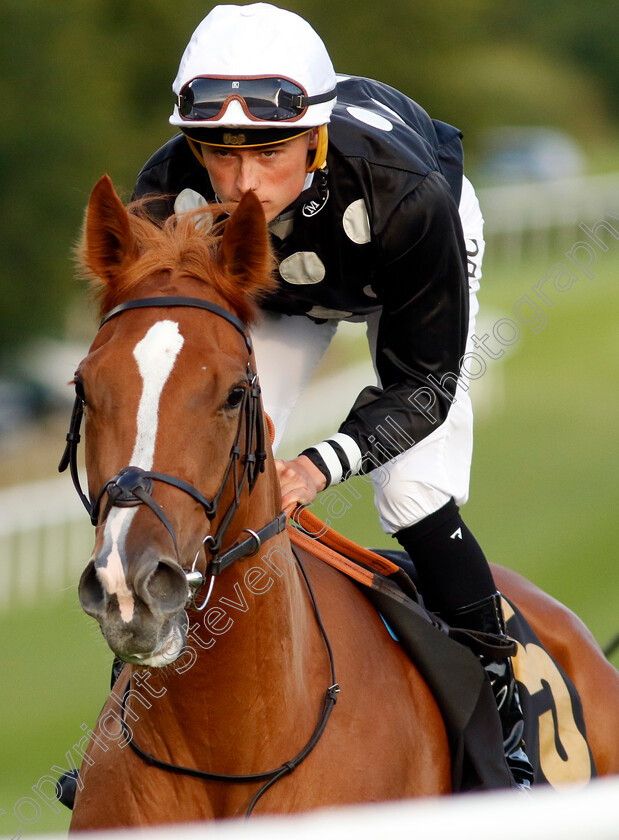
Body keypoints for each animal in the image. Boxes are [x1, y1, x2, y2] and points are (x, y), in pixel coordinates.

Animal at [68, 176, 619, 828]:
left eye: (233, 394)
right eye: (84, 386)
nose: (130, 583)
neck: (231, 749)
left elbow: (421, 388)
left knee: (420, 503)